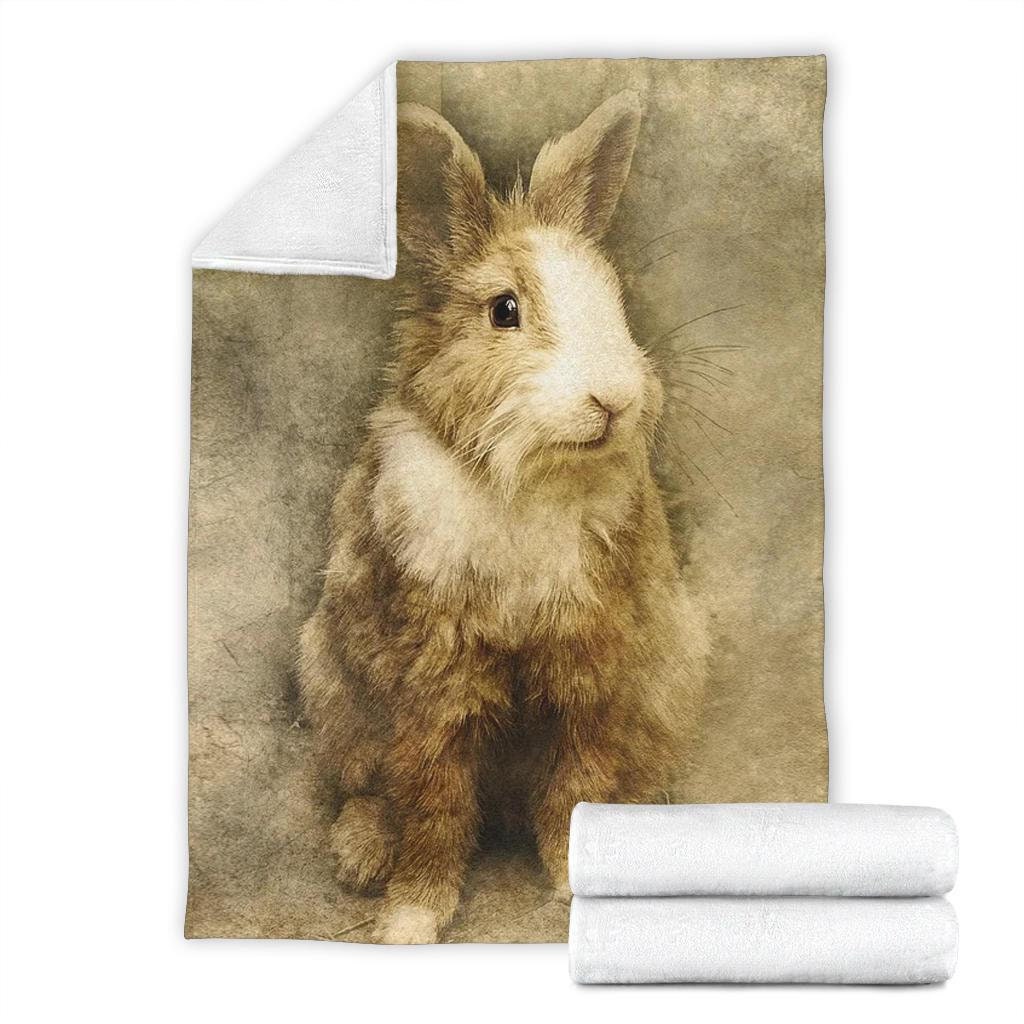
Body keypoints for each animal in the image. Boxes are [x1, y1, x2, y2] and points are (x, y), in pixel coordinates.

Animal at [298, 90, 708, 944]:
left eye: (613, 301)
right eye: (505, 311)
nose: (614, 398)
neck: (525, 481)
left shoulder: (593, 668)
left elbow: (577, 786)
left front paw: (574, 879)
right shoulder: (433, 672)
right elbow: (434, 801)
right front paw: (410, 918)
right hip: (335, 687)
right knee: (371, 788)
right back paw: (360, 855)